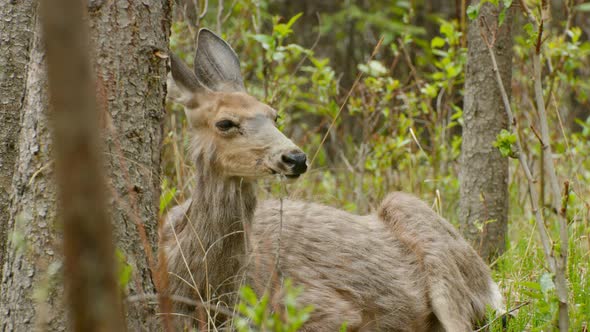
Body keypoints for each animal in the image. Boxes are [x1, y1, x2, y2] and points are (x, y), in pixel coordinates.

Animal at [161, 28, 504, 332]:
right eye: (225, 123)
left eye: (274, 114)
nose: (295, 158)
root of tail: (490, 285)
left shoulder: (324, 308)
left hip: (423, 231)